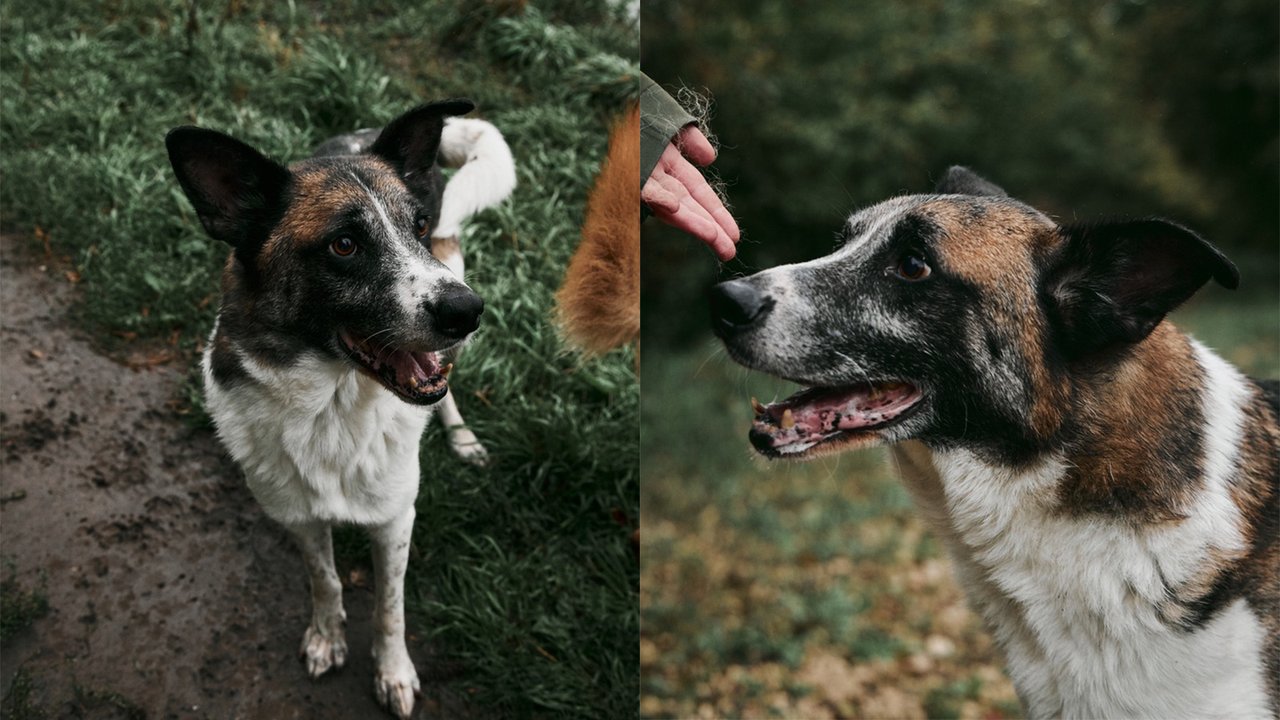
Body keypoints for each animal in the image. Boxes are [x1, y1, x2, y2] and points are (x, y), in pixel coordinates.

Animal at [166, 99, 514, 712]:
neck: (333, 406)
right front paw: (327, 637)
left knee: (448, 387)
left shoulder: (397, 519)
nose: (469, 312)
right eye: (344, 245)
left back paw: (462, 438)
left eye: (418, 226)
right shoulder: (297, 516)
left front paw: (393, 671)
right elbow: (325, 579)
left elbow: (389, 607)